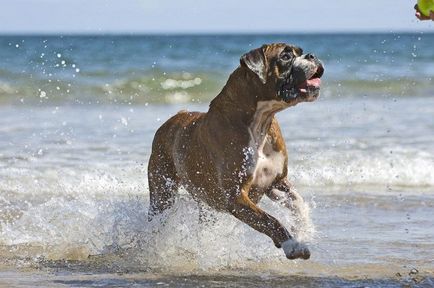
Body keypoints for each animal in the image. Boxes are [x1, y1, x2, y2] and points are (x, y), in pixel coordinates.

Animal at [147, 43, 324, 260]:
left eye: (300, 52)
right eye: (285, 56)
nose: (312, 55)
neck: (260, 121)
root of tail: (174, 118)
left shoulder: (276, 183)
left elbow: (298, 203)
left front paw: (303, 232)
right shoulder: (237, 197)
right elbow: (270, 220)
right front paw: (292, 245)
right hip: (162, 194)